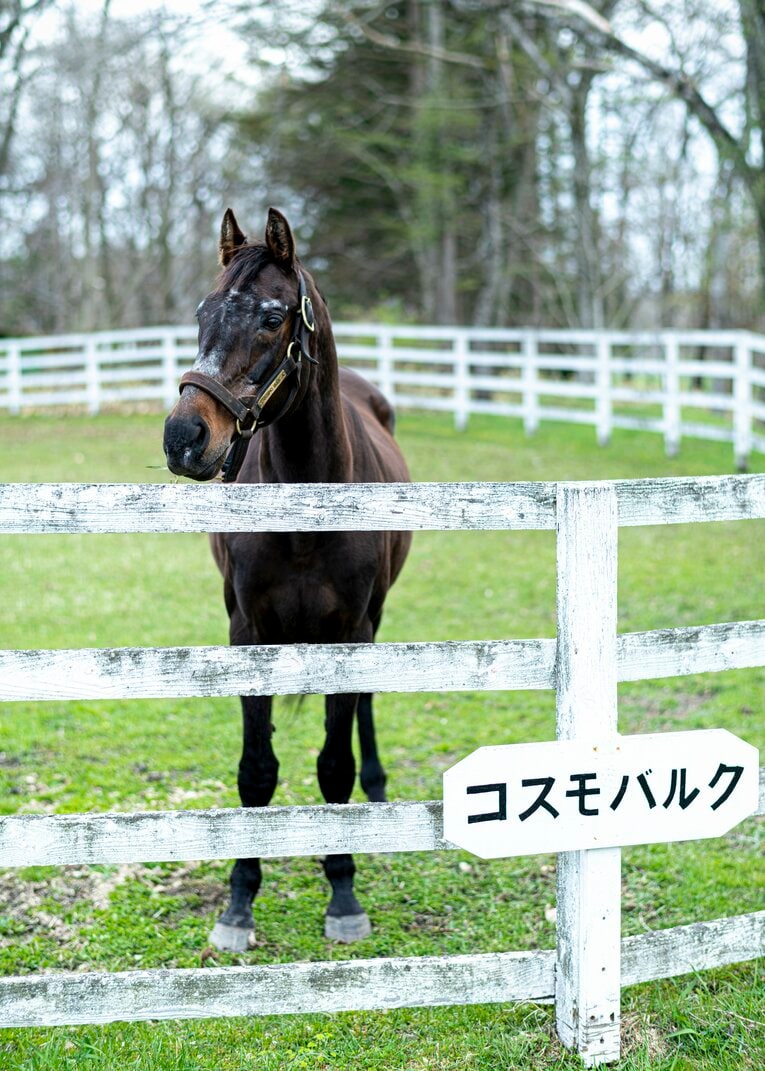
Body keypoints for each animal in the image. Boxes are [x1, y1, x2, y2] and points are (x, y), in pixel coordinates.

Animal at [163, 207, 411, 951]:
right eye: (201, 311)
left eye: (273, 318)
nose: (184, 437)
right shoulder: (249, 633)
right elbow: (256, 770)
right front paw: (238, 902)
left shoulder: (349, 634)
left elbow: (332, 766)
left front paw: (343, 892)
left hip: (374, 622)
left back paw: (377, 787)